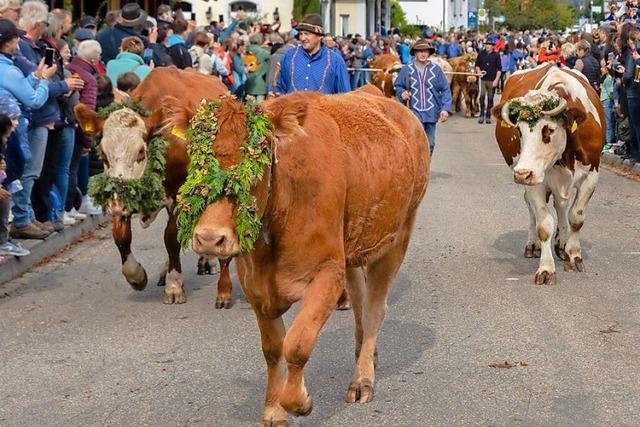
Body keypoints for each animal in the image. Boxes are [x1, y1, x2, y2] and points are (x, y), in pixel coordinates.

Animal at [75, 67, 235, 308]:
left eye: (141, 151)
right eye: (103, 153)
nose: (116, 203)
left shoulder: (180, 194)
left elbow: (171, 237)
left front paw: (174, 286)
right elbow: (121, 236)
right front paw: (136, 276)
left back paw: (206, 261)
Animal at [496, 63, 604, 286]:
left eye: (549, 130)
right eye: (519, 131)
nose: (521, 173)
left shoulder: (592, 175)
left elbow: (576, 217)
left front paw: (574, 256)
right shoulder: (536, 181)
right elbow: (544, 225)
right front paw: (546, 268)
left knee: (561, 205)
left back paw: (562, 244)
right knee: (532, 207)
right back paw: (533, 244)